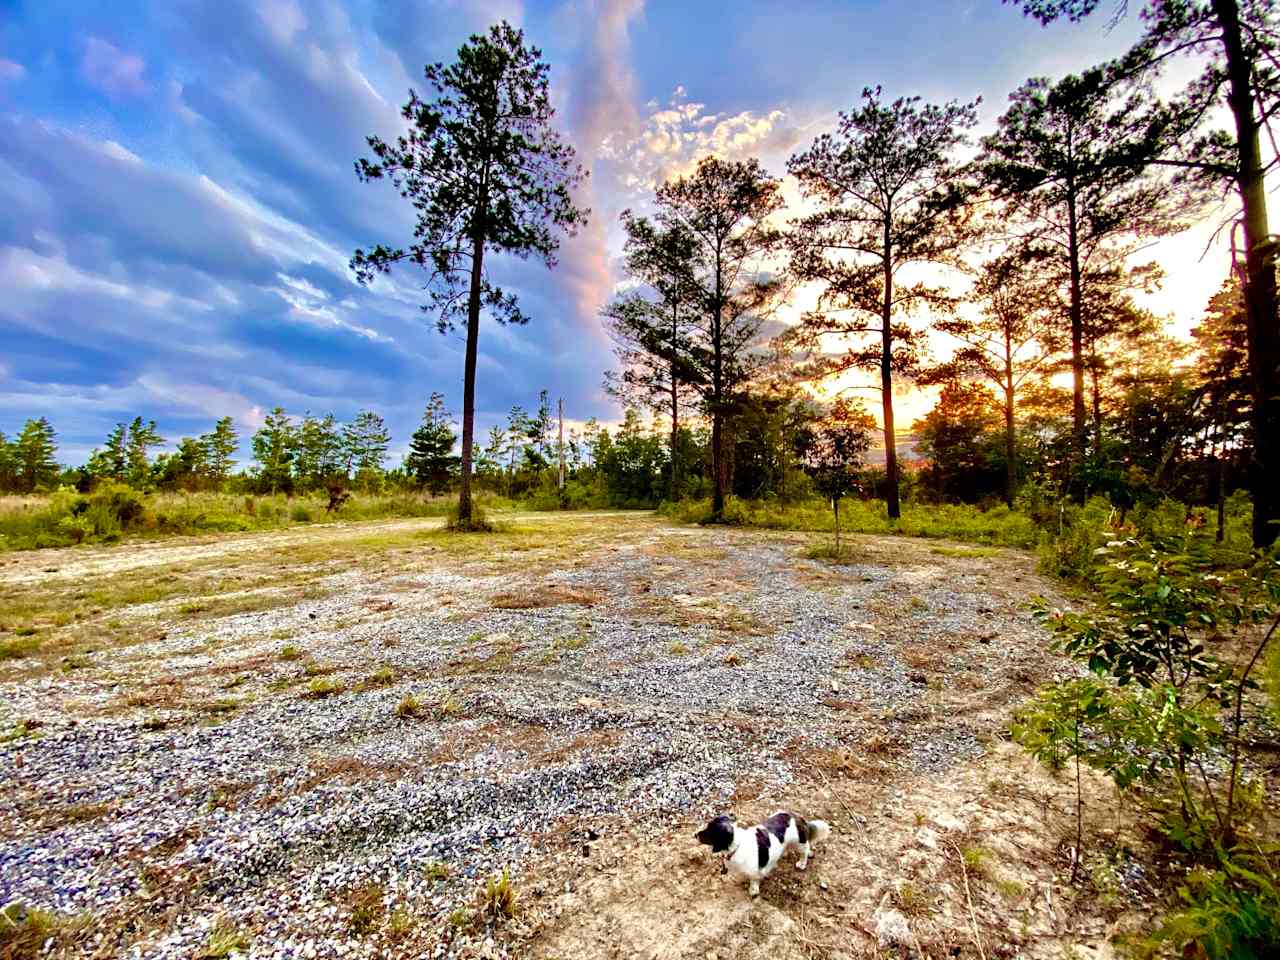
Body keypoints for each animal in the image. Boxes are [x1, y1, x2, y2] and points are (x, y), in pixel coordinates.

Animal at [696, 814, 834, 901]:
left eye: (709, 832)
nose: (695, 834)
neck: (738, 845)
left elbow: (754, 881)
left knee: (804, 850)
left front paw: (753, 891)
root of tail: (797, 817)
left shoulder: (755, 872)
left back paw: (802, 863)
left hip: (798, 843)